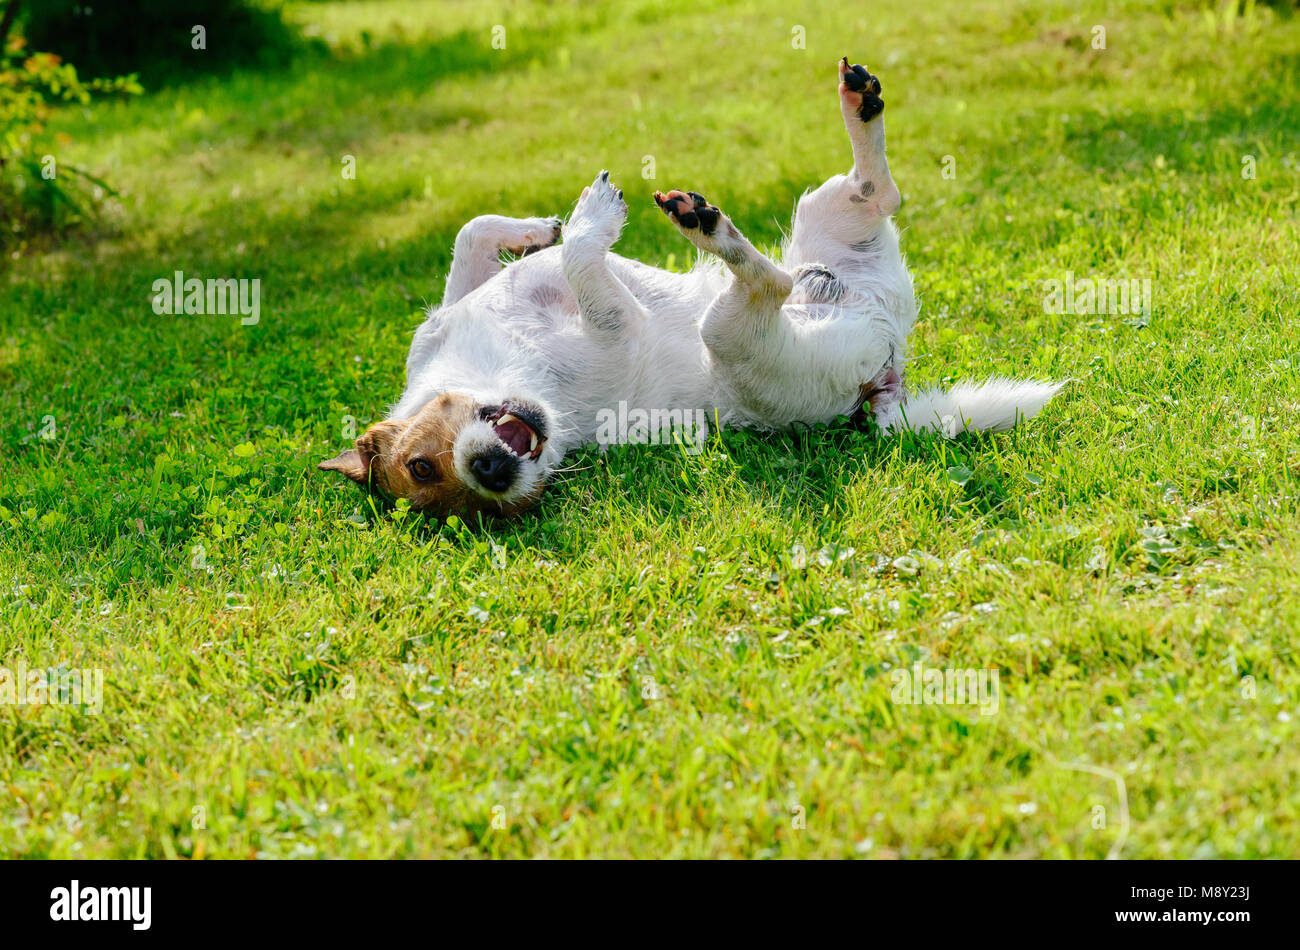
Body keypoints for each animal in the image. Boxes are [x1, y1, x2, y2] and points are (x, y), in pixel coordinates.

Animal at [319, 59, 1060, 519]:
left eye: (419, 465)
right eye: (441, 488)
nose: (493, 477)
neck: (498, 368)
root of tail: (886, 375)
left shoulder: (448, 314)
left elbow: (471, 235)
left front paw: (538, 230)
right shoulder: (614, 327)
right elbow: (584, 261)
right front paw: (587, 221)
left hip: (825, 212)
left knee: (877, 190)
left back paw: (858, 102)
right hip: (735, 334)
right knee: (773, 280)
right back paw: (709, 228)